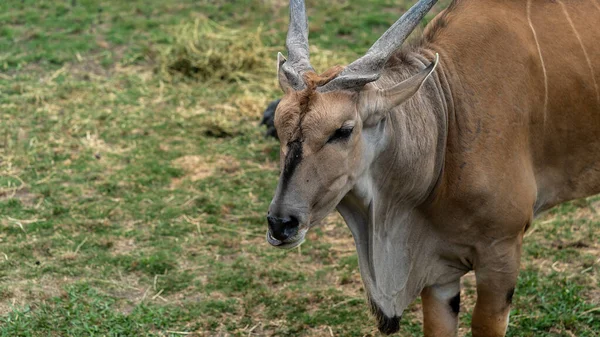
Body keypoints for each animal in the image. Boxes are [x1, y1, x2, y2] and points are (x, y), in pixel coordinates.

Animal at [264, 0, 600, 334]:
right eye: (278, 125)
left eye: (343, 130)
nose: (281, 223)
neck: (447, 115)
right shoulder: (438, 272)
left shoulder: (501, 253)